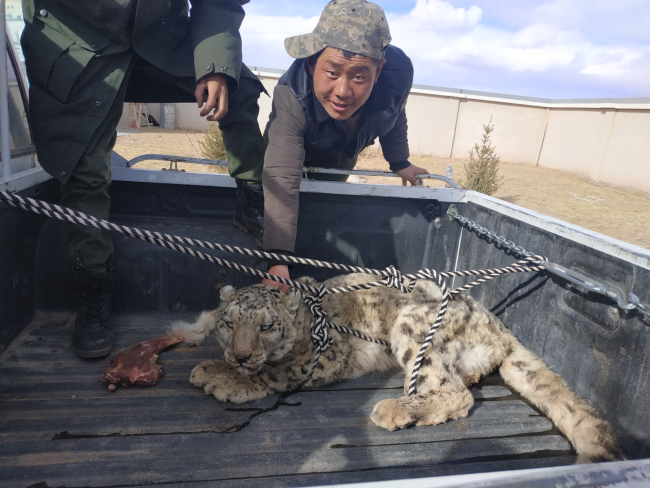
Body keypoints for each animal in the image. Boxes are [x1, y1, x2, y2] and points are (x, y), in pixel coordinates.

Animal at [173, 272, 624, 464]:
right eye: (229, 324)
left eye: (265, 327)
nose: (239, 356)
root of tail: (500, 327)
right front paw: (209, 360)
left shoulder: (326, 357)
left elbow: (276, 372)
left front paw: (224, 379)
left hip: (412, 324)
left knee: (455, 393)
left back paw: (394, 409)